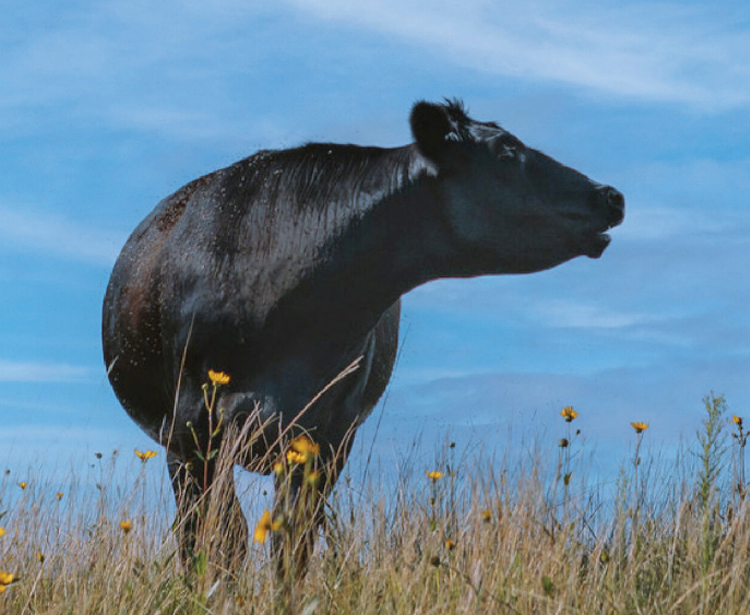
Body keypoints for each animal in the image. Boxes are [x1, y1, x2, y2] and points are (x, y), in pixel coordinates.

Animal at [102, 99, 624, 571]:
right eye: (507, 150)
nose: (610, 195)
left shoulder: (328, 434)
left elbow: (292, 544)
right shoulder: (189, 428)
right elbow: (213, 541)